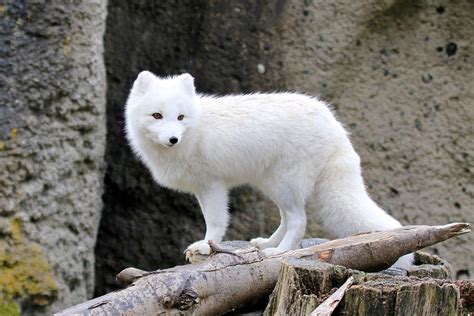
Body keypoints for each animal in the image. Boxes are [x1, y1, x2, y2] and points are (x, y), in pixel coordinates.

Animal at [124, 71, 412, 270]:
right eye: (157, 116)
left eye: (180, 117)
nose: (173, 139)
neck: (196, 129)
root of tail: (335, 126)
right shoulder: (204, 188)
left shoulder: (212, 186)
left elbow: (215, 222)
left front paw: (206, 248)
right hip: (272, 185)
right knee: (287, 218)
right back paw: (267, 244)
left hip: (286, 183)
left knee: (298, 220)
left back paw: (280, 252)